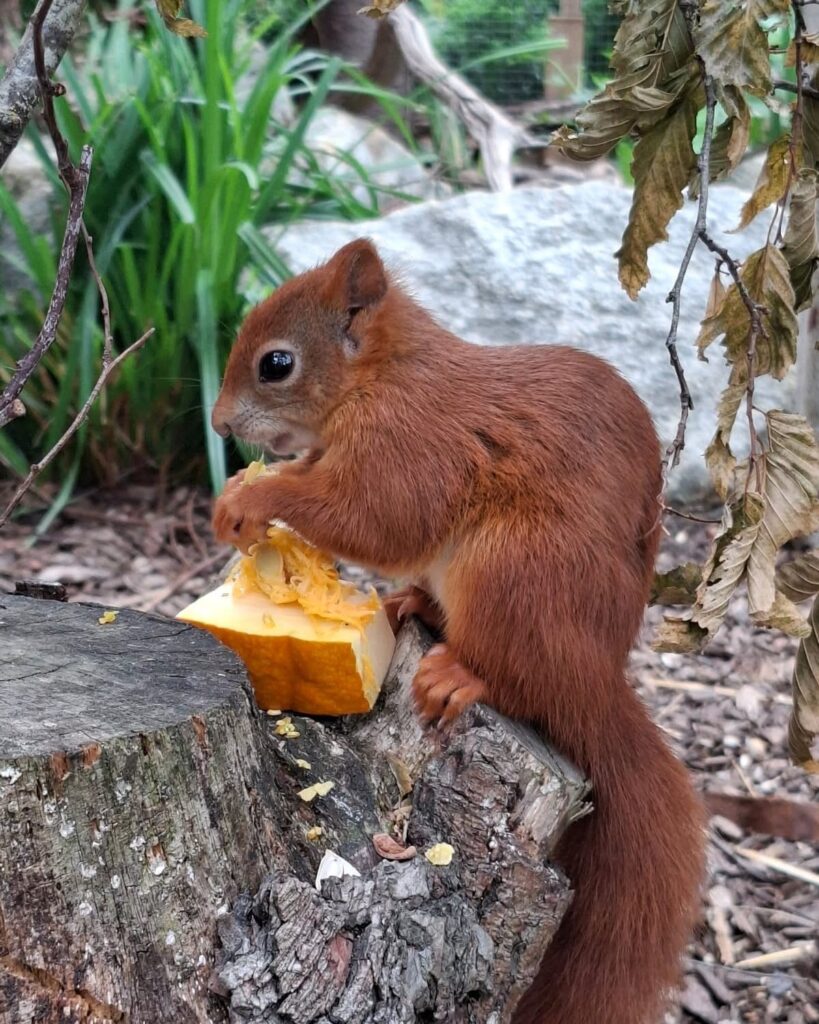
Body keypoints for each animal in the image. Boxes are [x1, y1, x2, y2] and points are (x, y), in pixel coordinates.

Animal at [210, 238, 705, 1024]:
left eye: (276, 363)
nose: (221, 425)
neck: (381, 377)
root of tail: (598, 678)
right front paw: (239, 490)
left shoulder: (408, 442)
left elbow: (374, 516)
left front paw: (256, 498)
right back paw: (406, 606)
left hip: (516, 573)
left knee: (522, 679)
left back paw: (460, 673)